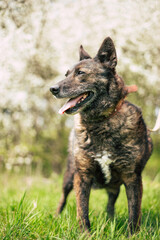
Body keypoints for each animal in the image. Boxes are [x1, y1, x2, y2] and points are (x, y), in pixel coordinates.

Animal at [49, 37, 159, 234]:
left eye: (81, 73)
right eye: (66, 74)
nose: (52, 89)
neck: (101, 122)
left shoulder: (132, 178)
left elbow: (134, 212)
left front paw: (132, 235)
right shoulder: (82, 176)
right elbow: (82, 210)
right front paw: (85, 234)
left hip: (114, 187)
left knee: (110, 204)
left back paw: (111, 221)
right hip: (69, 175)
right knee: (63, 198)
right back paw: (56, 217)